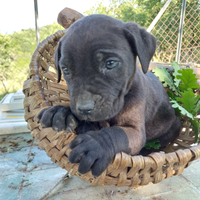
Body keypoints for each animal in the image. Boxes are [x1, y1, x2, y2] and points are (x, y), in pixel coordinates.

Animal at [37, 14, 181, 177]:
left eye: (111, 63)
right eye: (66, 70)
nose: (84, 109)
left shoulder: (135, 131)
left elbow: (116, 133)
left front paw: (95, 145)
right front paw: (61, 112)